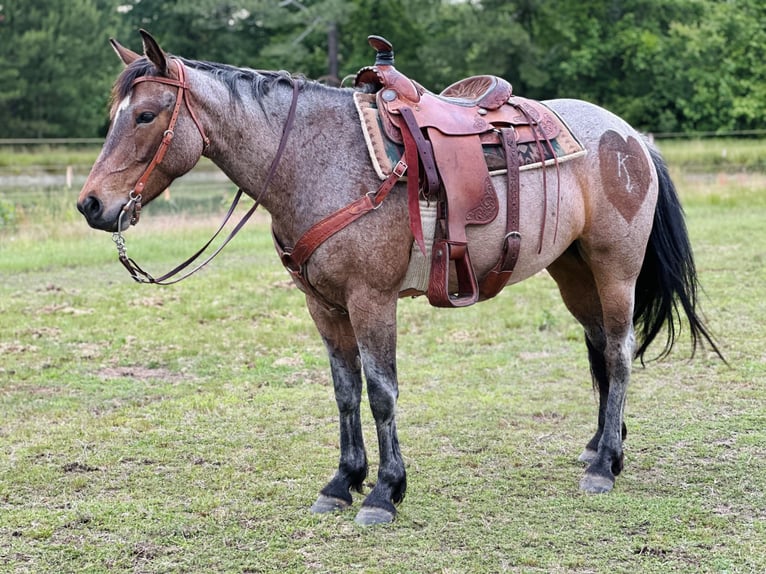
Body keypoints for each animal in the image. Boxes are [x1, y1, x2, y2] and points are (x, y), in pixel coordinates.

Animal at [77, 30, 722, 525]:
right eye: (114, 116)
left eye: (145, 115)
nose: (91, 205)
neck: (318, 162)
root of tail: (631, 136)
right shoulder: (324, 306)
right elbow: (345, 391)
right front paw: (342, 481)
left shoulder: (372, 299)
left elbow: (382, 391)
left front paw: (385, 492)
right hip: (573, 270)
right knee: (598, 348)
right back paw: (600, 451)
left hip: (615, 267)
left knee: (618, 352)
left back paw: (605, 465)